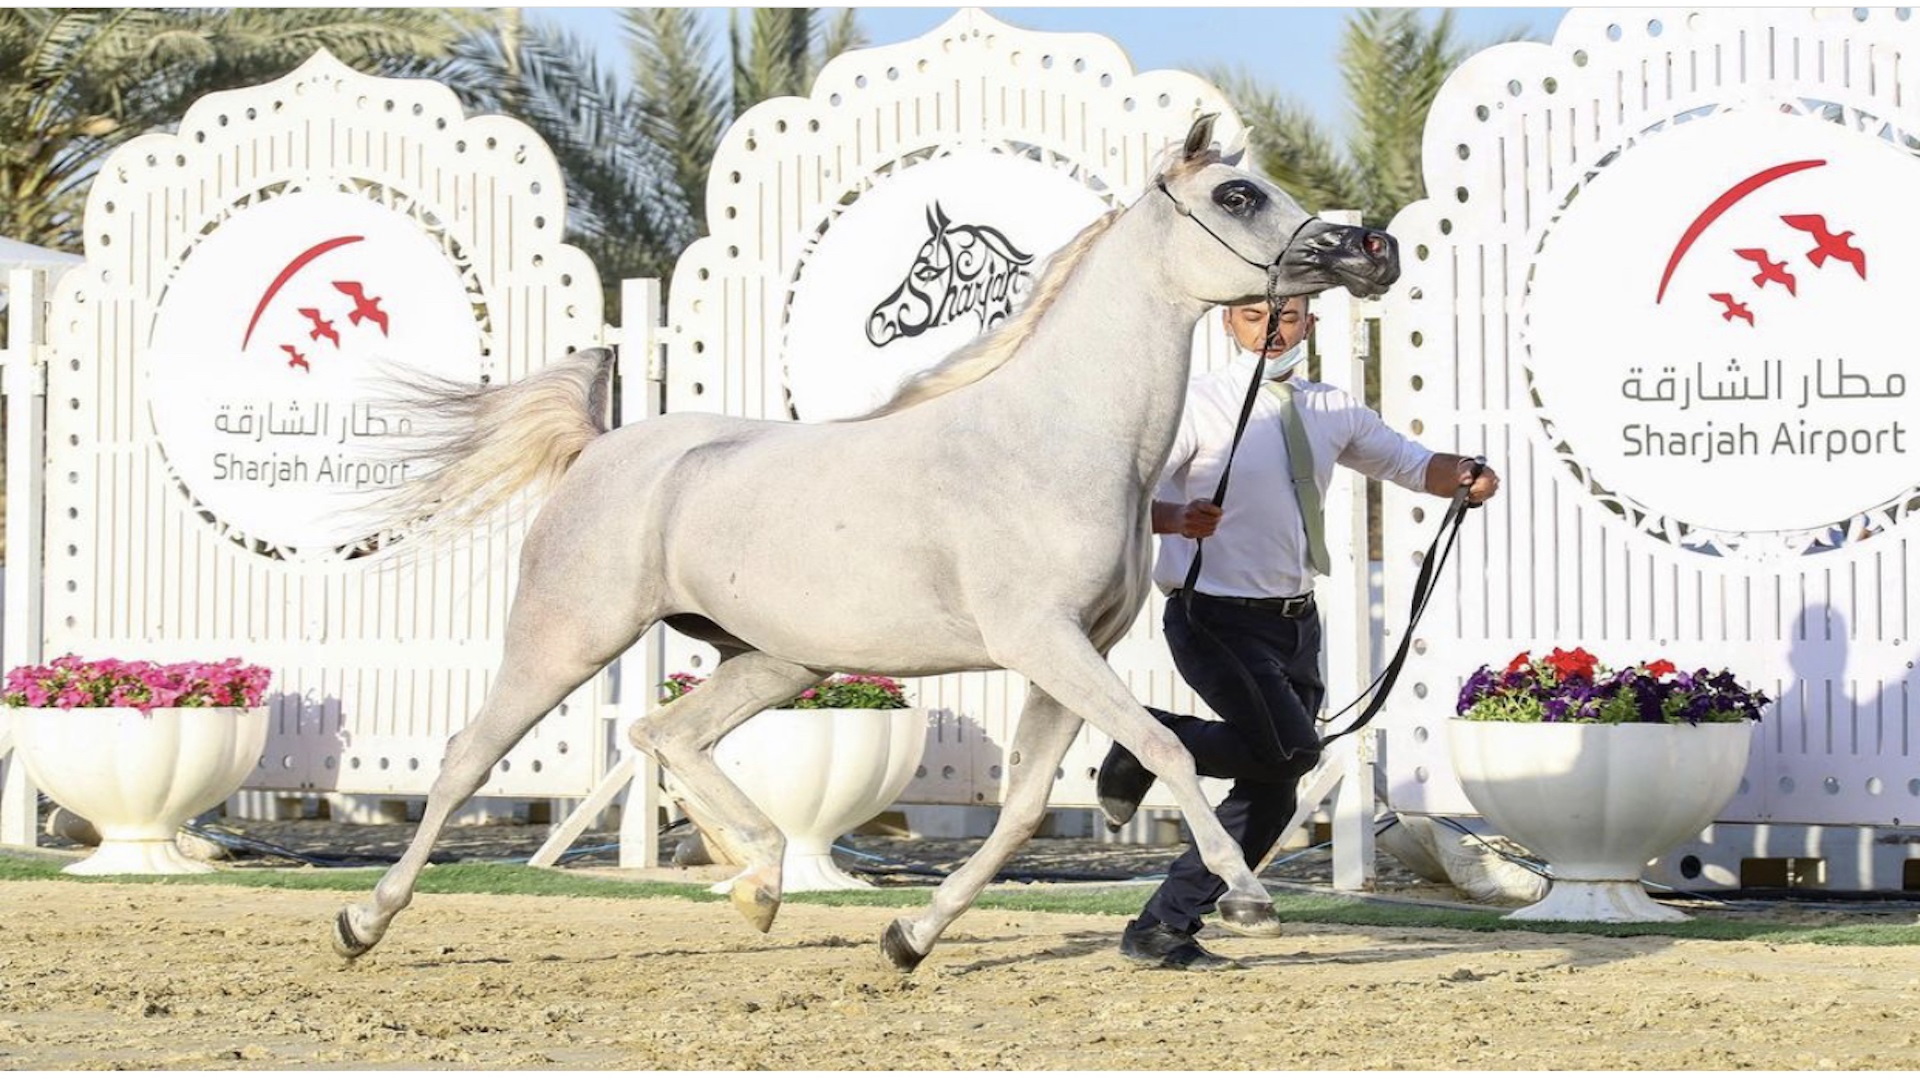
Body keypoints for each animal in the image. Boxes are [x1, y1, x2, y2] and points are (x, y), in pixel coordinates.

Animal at [334, 115, 1397, 968]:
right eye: (1237, 194)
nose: (1371, 251)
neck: (1056, 437)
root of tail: (601, 447)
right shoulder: (1042, 641)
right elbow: (1164, 747)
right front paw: (1250, 901)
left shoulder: (1072, 651)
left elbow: (1025, 806)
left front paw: (908, 937)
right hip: (567, 638)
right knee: (469, 757)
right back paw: (364, 922)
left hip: (776, 659)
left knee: (664, 734)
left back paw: (761, 887)